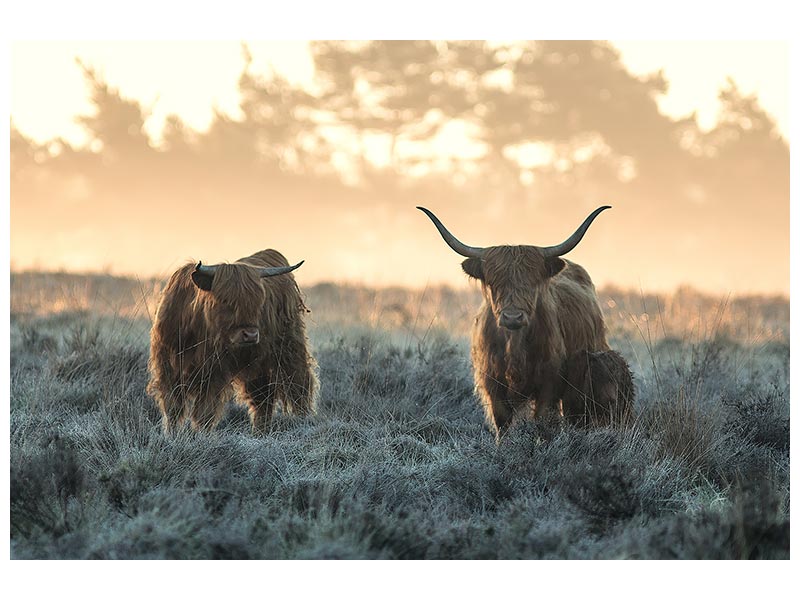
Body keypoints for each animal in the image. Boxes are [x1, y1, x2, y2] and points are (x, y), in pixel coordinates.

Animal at [147, 248, 316, 436]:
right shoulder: (168, 366)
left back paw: (301, 421)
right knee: (263, 397)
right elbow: (173, 407)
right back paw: (261, 432)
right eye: (225, 301)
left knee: (298, 385)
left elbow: (204, 411)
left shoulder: (213, 372)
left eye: (258, 303)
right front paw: (171, 434)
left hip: (289, 349)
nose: (250, 335)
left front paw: (201, 435)